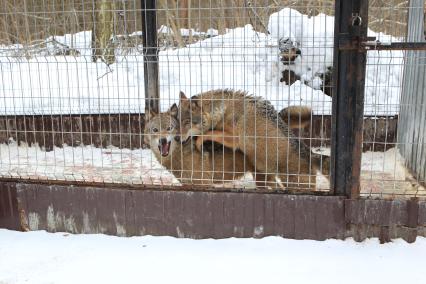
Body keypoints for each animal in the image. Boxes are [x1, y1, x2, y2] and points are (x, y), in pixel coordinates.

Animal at [176, 89, 330, 190]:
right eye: (177, 121)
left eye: (186, 122)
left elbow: (210, 133)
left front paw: (199, 142)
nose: (176, 138)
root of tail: (310, 153)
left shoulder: (235, 139)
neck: (223, 110)